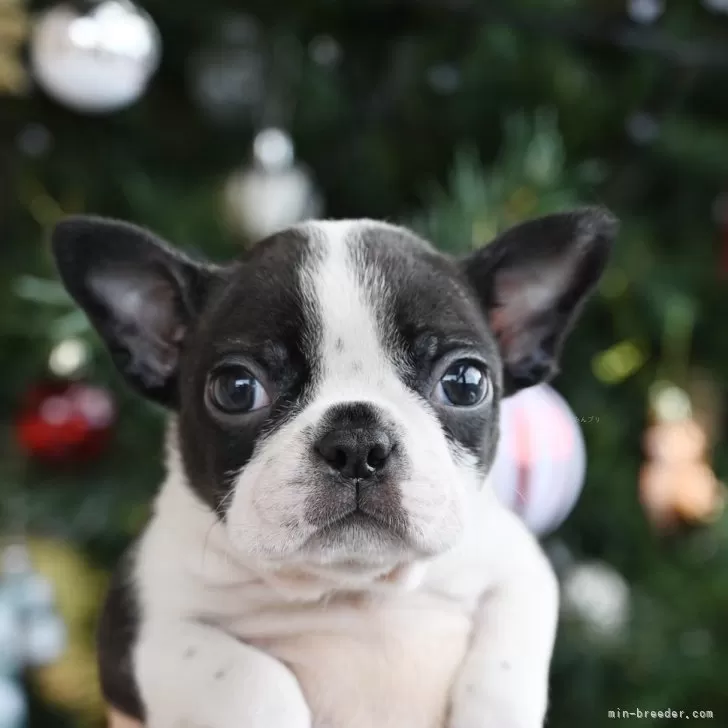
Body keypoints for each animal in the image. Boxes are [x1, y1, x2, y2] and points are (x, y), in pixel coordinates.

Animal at [54, 210, 616, 728]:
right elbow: (247, 677)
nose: (357, 444)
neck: (353, 589)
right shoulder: (141, 628)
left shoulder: (521, 570)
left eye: (465, 383)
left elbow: (505, 662)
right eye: (236, 390)